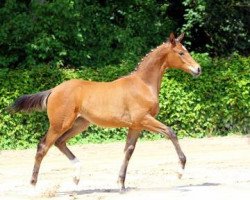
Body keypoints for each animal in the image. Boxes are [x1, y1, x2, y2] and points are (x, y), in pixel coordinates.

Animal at [10, 32, 201, 191]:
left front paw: (121, 184)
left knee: (60, 142)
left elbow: (128, 151)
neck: (143, 85)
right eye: (181, 53)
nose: (198, 69)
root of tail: (53, 90)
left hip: (80, 123)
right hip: (60, 124)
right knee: (43, 146)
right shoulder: (144, 119)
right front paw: (180, 171)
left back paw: (76, 177)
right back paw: (33, 185)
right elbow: (170, 132)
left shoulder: (136, 125)